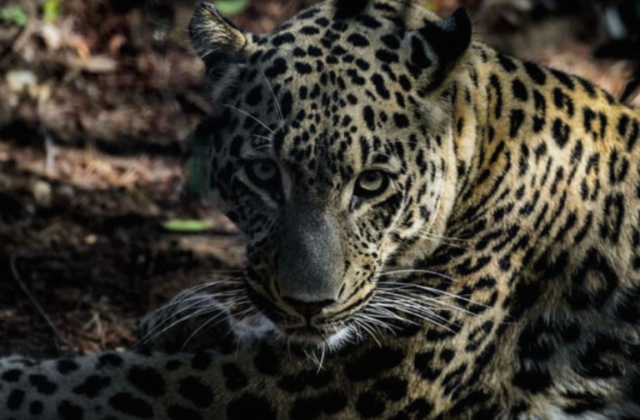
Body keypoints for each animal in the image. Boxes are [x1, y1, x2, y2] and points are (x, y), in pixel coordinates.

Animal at [2, 0, 640, 419]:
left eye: (372, 183)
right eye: (265, 174)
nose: (309, 306)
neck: (486, 141)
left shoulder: (346, 382)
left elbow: (105, 382)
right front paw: (184, 316)